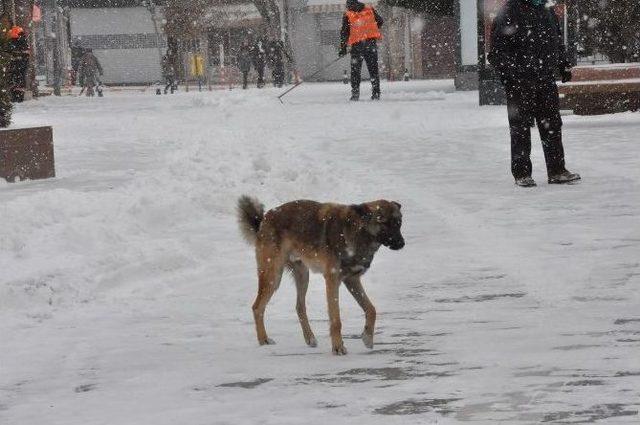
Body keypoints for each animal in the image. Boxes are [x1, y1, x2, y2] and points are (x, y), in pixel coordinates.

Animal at [238, 195, 402, 354]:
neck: (356, 231)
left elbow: (371, 309)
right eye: (384, 222)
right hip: (273, 276)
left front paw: (367, 337)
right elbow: (336, 319)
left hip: (303, 275)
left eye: (399, 223)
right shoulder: (332, 280)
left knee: (299, 306)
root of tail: (265, 219)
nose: (402, 243)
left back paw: (310, 338)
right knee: (257, 307)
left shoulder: (352, 280)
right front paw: (338, 347)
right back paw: (263, 339)